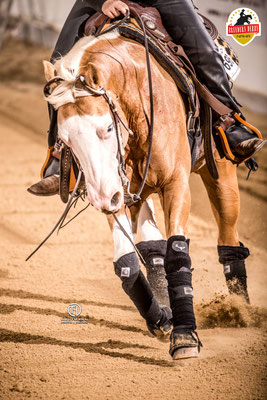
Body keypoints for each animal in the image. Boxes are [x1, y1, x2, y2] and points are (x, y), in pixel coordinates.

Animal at [43, 28, 250, 360]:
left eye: (107, 128)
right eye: (64, 140)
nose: (101, 200)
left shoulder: (174, 183)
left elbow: (177, 252)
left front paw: (185, 335)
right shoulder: (115, 188)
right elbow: (127, 262)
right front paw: (162, 318)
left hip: (221, 172)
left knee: (229, 239)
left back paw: (239, 309)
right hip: (137, 193)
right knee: (151, 244)